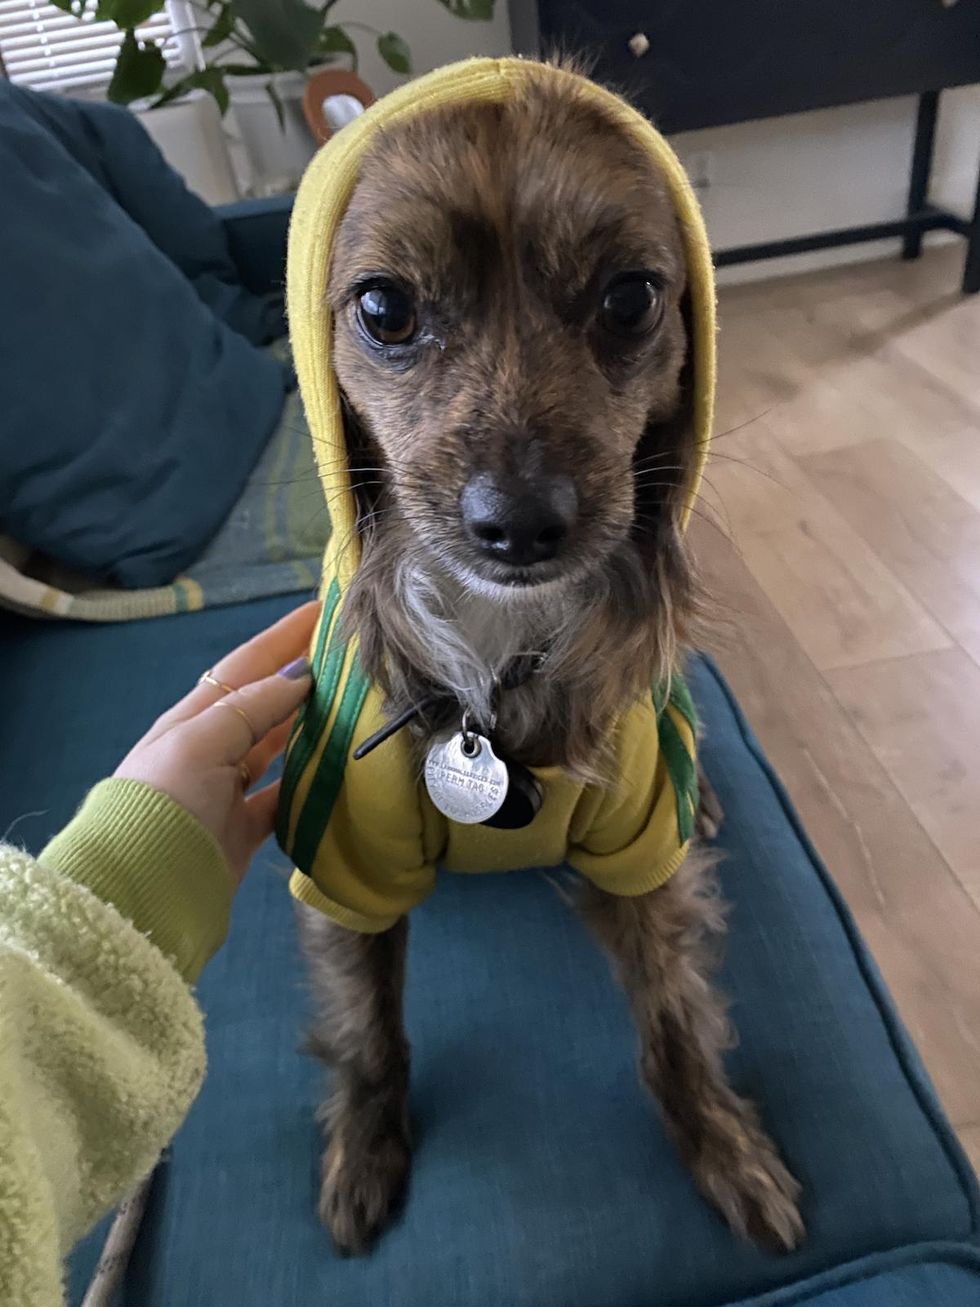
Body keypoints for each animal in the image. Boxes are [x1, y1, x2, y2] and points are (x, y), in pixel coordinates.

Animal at [278, 58, 804, 1254]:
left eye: (630, 298)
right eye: (384, 308)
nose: (518, 524)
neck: (496, 640)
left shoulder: (643, 850)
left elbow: (674, 1013)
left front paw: (721, 1142)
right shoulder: (343, 856)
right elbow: (367, 1027)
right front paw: (363, 1151)